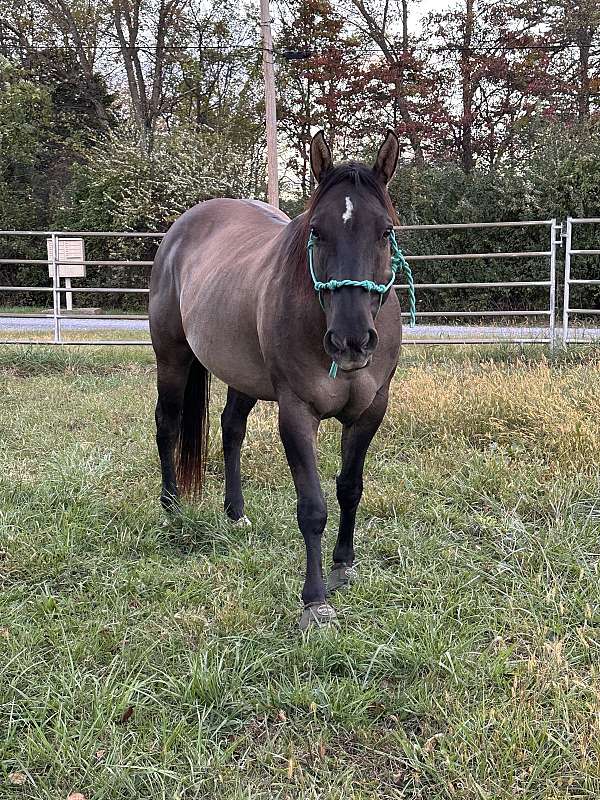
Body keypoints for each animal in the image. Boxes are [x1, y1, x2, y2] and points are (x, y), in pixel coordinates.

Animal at [149, 130, 403, 630]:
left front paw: (344, 566)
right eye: (317, 230)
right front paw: (315, 601)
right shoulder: (296, 413)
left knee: (231, 428)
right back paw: (171, 508)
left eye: (385, 231)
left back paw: (235, 514)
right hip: (172, 359)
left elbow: (350, 488)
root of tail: (180, 230)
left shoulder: (369, 411)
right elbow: (312, 508)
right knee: (167, 425)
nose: (351, 341)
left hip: (242, 376)